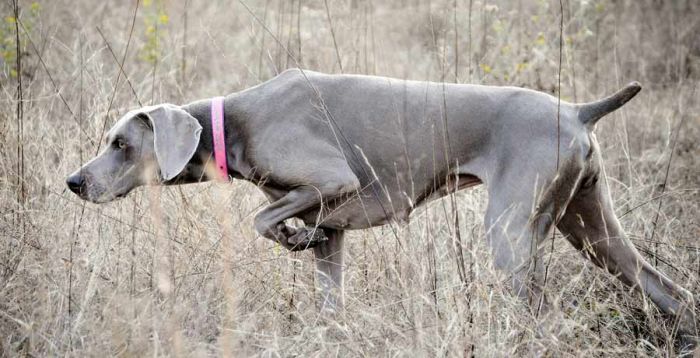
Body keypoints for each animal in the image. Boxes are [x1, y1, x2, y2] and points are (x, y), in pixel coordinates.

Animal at [65, 68, 696, 348]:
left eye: (120, 144)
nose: (73, 181)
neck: (235, 123)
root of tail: (578, 112)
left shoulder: (330, 180)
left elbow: (260, 219)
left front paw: (289, 238)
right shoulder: (332, 231)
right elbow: (325, 285)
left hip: (512, 233)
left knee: (537, 312)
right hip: (590, 225)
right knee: (667, 289)